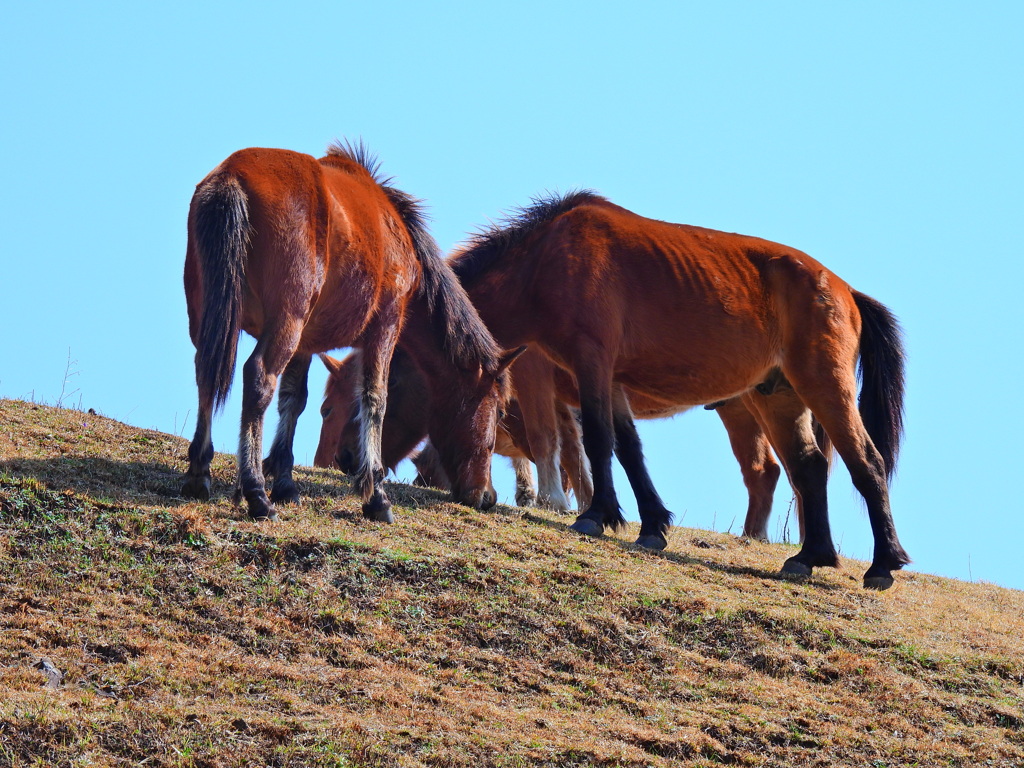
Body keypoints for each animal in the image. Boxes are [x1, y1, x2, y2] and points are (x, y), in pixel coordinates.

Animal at [177, 143, 524, 524]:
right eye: (499, 413)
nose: (485, 496)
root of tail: (233, 176)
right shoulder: (385, 327)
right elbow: (374, 399)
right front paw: (375, 496)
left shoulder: (306, 343)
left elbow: (293, 400)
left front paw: (285, 483)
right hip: (286, 321)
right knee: (258, 379)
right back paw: (256, 493)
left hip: (211, 316)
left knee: (206, 373)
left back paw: (199, 472)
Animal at [446, 191, 905, 589]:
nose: (477, 496)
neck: (545, 259)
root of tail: (847, 291)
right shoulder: (611, 379)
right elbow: (628, 449)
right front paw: (650, 525)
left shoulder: (589, 363)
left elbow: (597, 440)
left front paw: (594, 515)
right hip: (781, 397)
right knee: (808, 467)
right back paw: (808, 557)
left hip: (824, 384)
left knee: (866, 463)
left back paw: (883, 564)